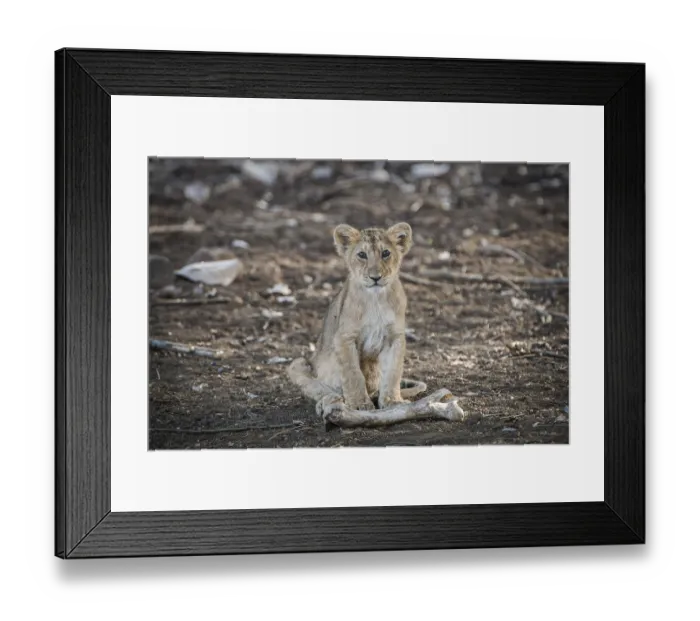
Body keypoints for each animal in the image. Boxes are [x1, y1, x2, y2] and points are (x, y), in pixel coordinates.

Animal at [287, 222, 427, 413]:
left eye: (386, 253)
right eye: (362, 254)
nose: (375, 277)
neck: (375, 299)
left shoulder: (394, 337)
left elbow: (393, 372)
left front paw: (392, 401)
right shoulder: (344, 338)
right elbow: (353, 373)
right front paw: (360, 404)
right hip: (299, 363)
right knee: (317, 388)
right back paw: (331, 399)